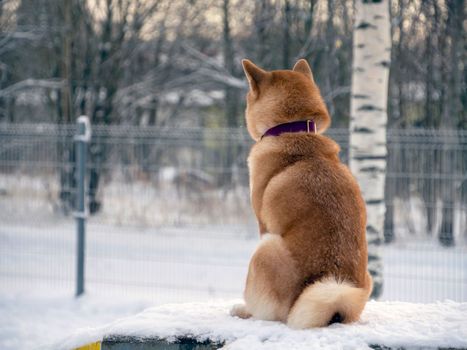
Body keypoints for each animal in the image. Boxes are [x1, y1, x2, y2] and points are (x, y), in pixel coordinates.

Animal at [231, 58, 372, 330]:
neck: (293, 130)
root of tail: (336, 312)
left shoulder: (264, 225)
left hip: (266, 247)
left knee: (270, 314)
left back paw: (244, 311)